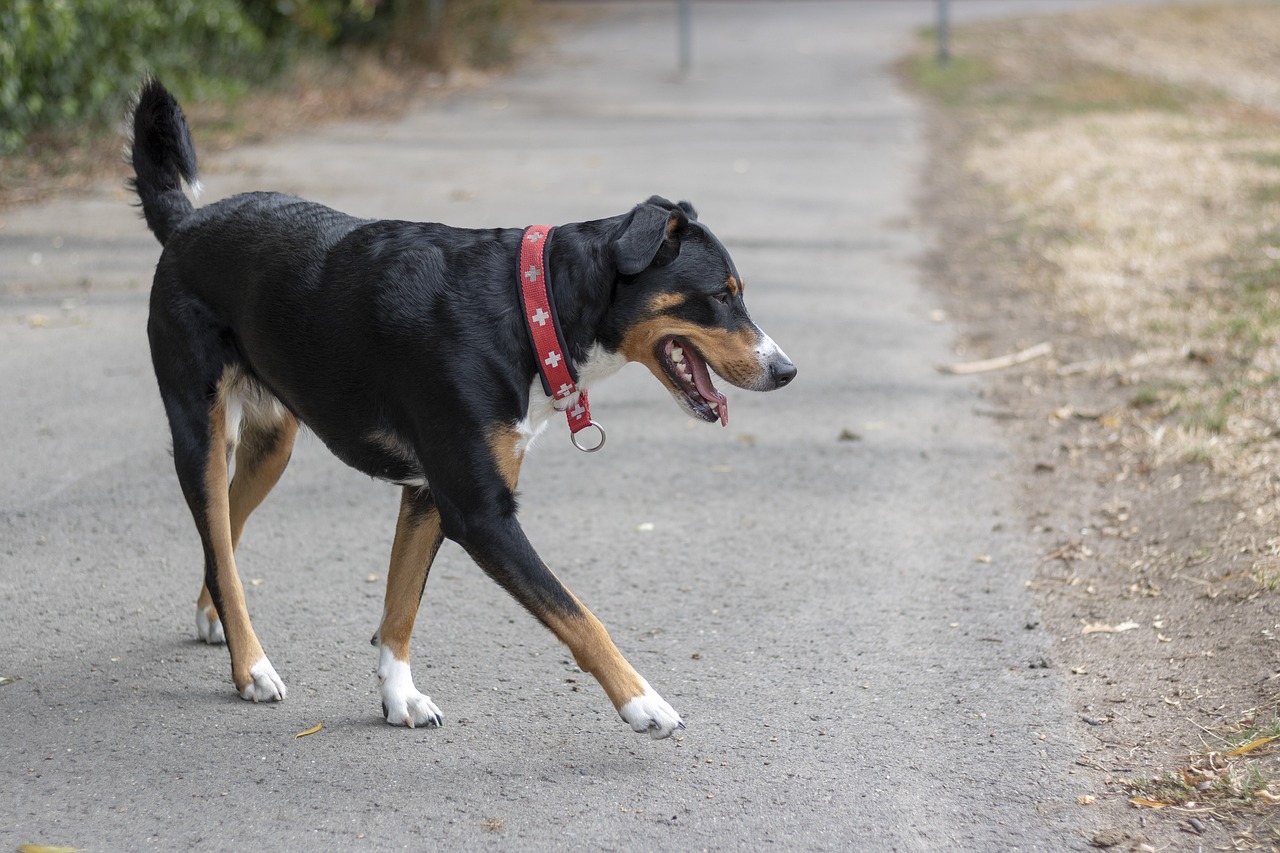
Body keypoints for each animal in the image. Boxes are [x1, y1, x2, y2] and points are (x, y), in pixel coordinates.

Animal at [127, 76, 788, 732]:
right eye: (721, 295)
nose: (786, 370)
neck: (530, 307)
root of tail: (188, 223)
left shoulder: (428, 495)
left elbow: (400, 608)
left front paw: (399, 696)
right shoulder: (479, 511)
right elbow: (580, 616)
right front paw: (642, 701)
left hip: (272, 445)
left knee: (225, 536)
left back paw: (213, 618)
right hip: (201, 433)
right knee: (219, 541)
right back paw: (251, 667)